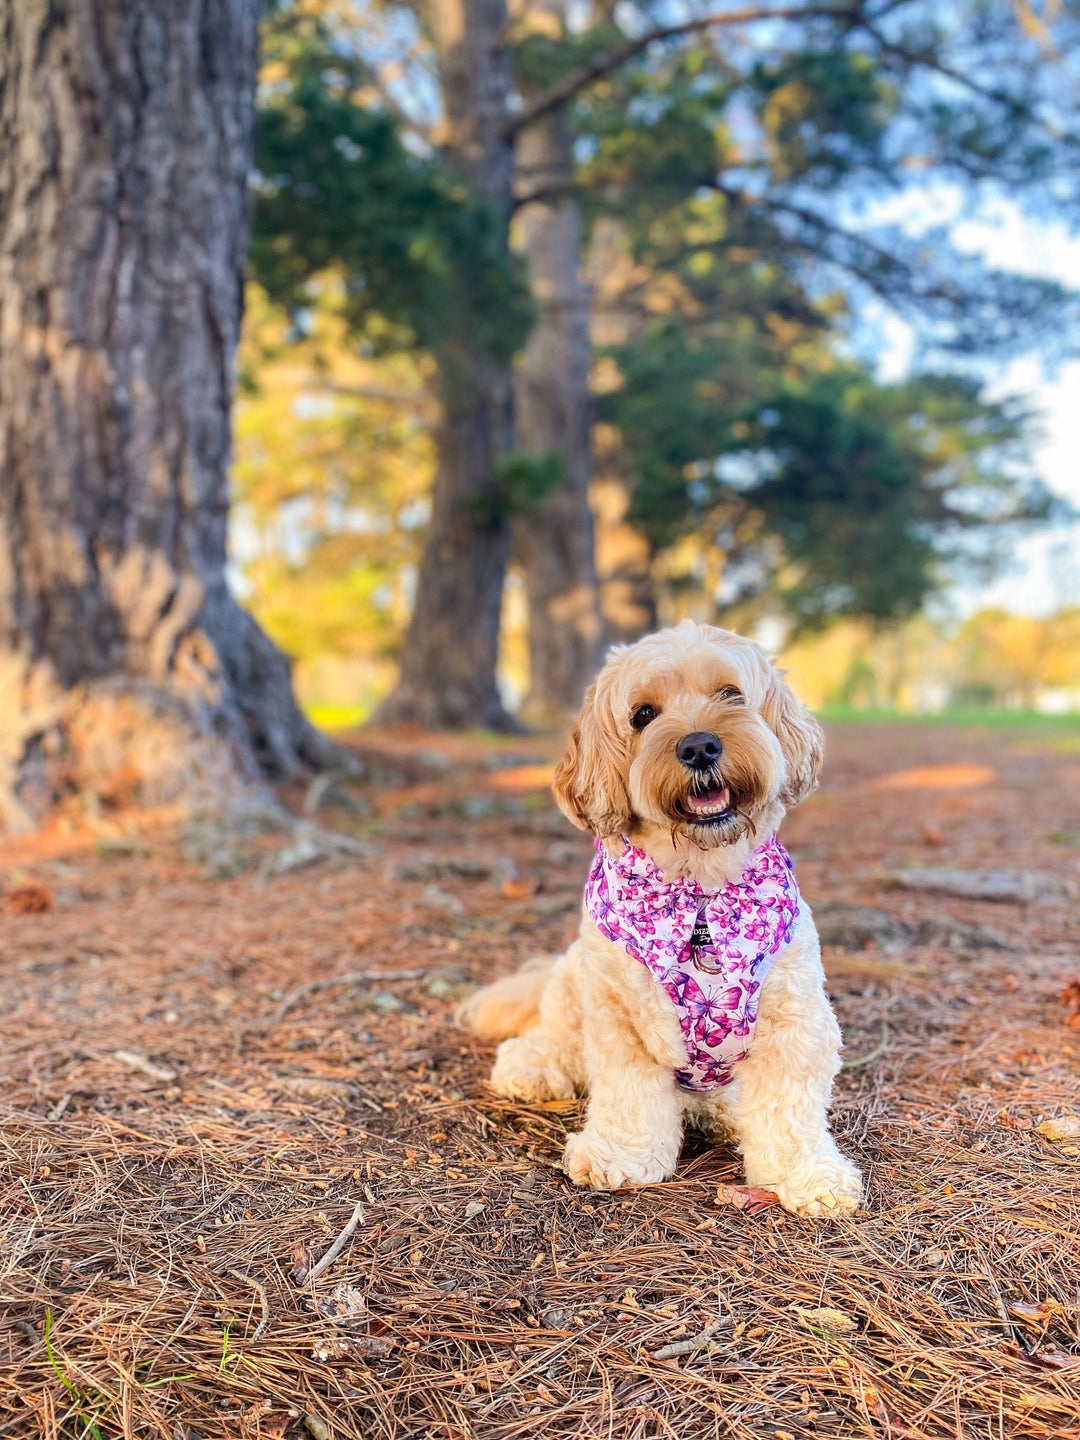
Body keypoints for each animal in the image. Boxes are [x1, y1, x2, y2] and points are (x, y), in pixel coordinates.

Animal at [460, 619, 869, 1215]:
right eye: (643, 714)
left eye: (730, 694)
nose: (699, 745)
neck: (699, 893)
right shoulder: (619, 1017)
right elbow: (628, 1092)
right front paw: (621, 1156)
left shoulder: (794, 1015)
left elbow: (789, 1105)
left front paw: (807, 1175)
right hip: (573, 980)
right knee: (552, 1037)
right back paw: (535, 1066)